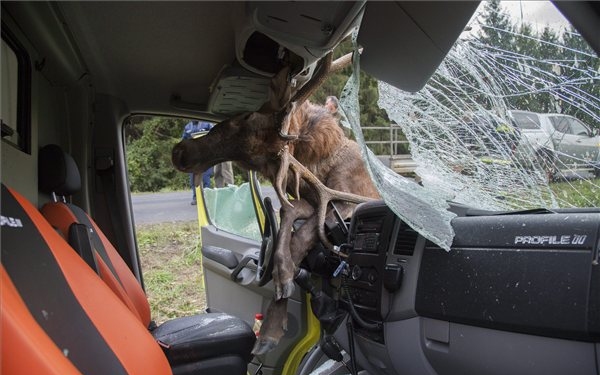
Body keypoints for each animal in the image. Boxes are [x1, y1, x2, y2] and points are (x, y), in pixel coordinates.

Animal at [171, 52, 378, 356]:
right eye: (252, 162)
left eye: (246, 116)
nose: (180, 152)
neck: (318, 164)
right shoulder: (308, 199)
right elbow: (286, 216)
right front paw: (281, 280)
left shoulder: (346, 200)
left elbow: (302, 235)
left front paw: (275, 312)